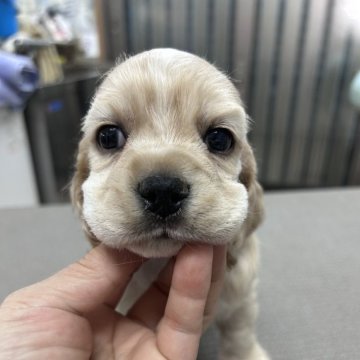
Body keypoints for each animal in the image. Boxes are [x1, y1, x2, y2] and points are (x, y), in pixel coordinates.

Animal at [70, 48, 268, 360]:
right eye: (108, 136)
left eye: (219, 139)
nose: (162, 191)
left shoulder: (241, 296)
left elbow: (239, 334)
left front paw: (246, 354)